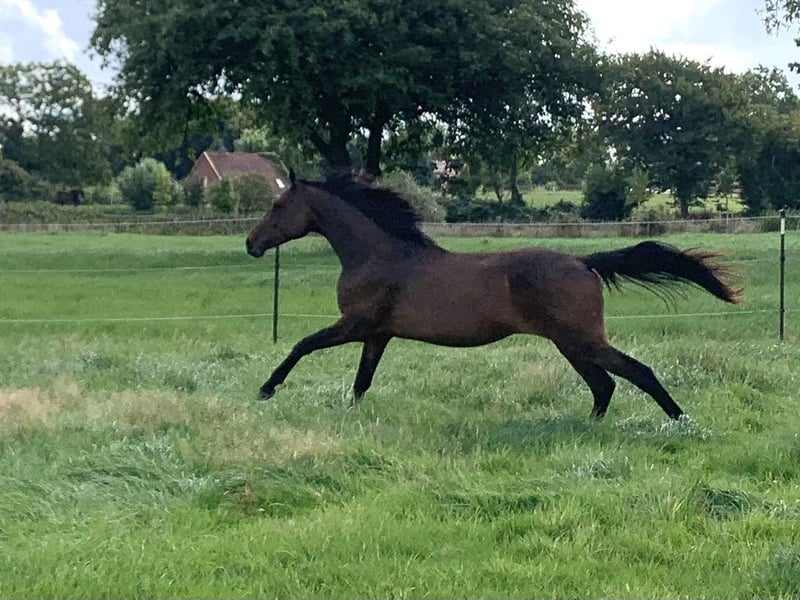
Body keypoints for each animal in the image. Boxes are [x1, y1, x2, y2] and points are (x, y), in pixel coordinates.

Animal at [245, 173, 741, 420]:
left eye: (277, 206)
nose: (251, 244)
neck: (380, 254)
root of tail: (584, 262)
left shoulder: (356, 325)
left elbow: (302, 345)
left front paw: (267, 389)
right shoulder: (378, 334)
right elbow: (362, 381)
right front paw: (350, 415)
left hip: (580, 339)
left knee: (635, 372)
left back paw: (680, 421)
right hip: (571, 343)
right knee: (605, 384)